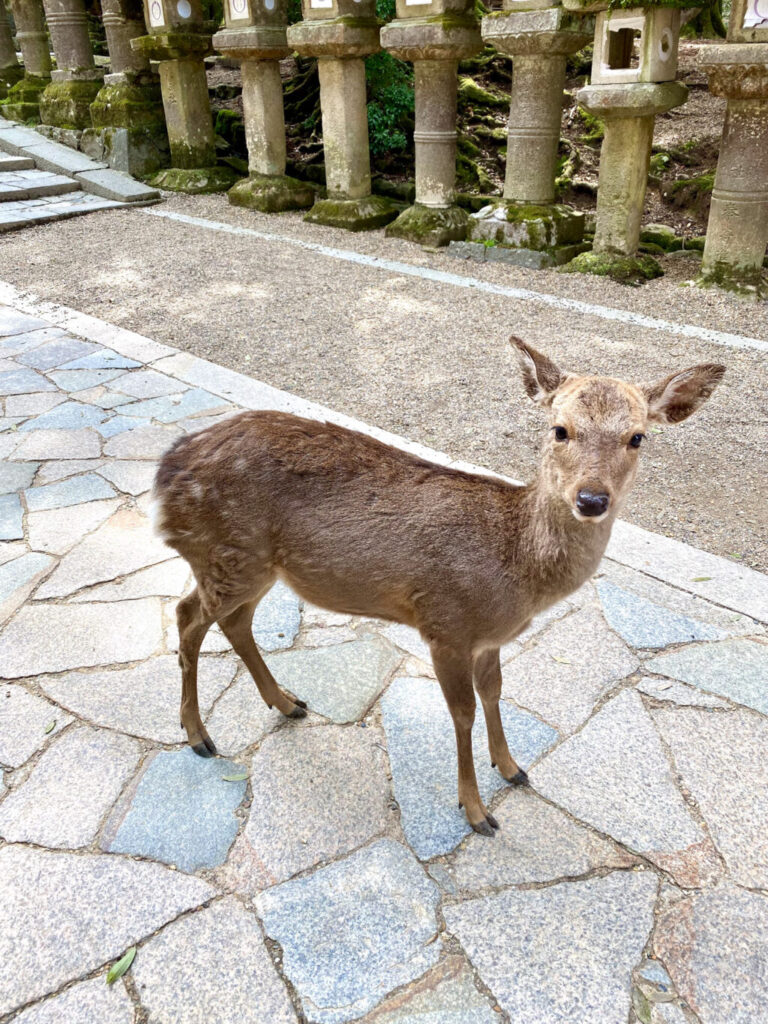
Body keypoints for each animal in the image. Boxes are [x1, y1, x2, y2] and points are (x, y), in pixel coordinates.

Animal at [151, 339, 729, 835]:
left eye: (638, 436)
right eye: (560, 429)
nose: (591, 499)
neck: (515, 572)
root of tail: (165, 471)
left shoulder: (488, 639)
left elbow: (495, 692)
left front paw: (512, 767)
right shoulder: (446, 623)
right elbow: (463, 712)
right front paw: (476, 812)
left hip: (253, 565)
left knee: (232, 621)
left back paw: (287, 703)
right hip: (228, 554)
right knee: (187, 616)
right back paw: (199, 736)